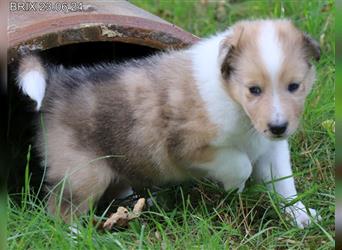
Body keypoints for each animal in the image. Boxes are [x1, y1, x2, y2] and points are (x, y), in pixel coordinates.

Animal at [17, 18, 322, 228]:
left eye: (294, 86)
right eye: (253, 90)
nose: (278, 127)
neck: (235, 103)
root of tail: (57, 81)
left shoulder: (271, 149)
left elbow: (284, 185)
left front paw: (301, 216)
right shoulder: (188, 146)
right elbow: (240, 163)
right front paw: (234, 187)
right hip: (82, 172)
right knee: (61, 209)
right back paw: (75, 235)